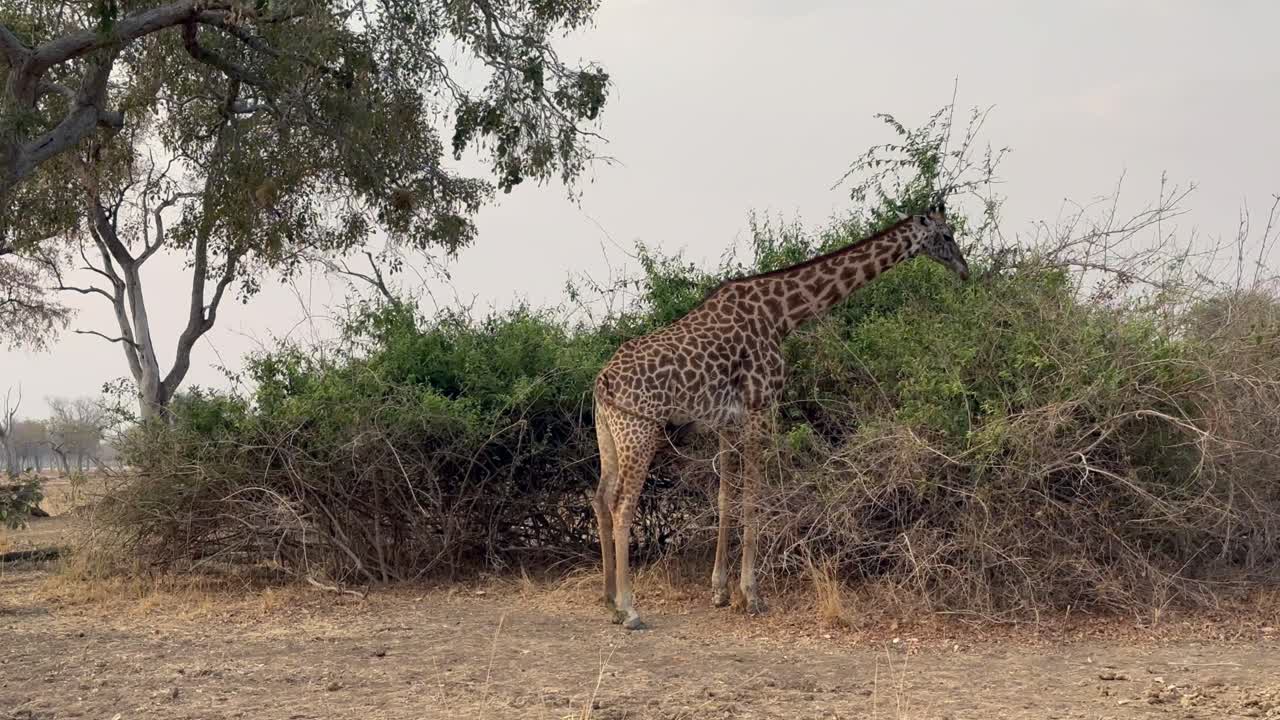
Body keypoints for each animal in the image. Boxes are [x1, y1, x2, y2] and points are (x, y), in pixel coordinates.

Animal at [590, 202, 970, 630]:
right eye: (947, 235)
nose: (964, 270)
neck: (782, 314)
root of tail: (603, 381)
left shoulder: (726, 419)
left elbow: (726, 496)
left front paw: (721, 590)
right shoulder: (761, 405)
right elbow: (754, 497)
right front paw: (752, 595)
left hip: (609, 432)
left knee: (600, 498)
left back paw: (609, 599)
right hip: (640, 430)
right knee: (622, 504)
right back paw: (629, 608)